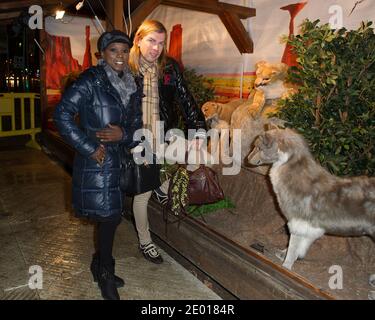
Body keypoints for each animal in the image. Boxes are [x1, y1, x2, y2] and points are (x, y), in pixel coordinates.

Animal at [250, 127, 375, 272]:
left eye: (258, 148)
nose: (247, 159)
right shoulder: (312, 229)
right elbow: (301, 248)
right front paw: (282, 254)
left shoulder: (297, 223)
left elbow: (293, 249)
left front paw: (286, 266)